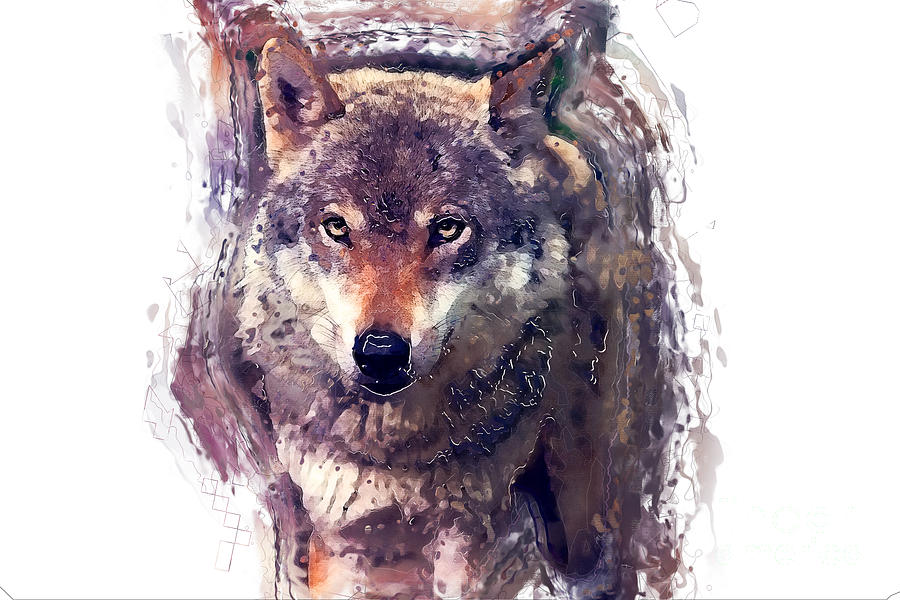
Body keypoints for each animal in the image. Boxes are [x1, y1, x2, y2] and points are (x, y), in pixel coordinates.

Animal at [168, 2, 710, 598]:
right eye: (336, 227)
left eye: (449, 228)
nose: (380, 352)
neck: (397, 449)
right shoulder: (338, 533)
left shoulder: (466, 531)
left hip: (581, 508)